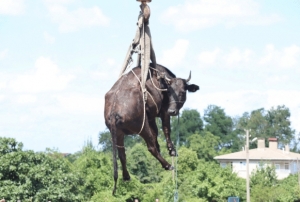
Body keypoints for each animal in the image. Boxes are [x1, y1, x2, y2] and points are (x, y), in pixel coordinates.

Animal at [103, 64, 199, 194]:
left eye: (183, 91)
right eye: (168, 92)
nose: (172, 111)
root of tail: (113, 112)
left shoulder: (151, 116)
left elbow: (155, 133)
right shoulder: (163, 112)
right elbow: (166, 129)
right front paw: (172, 149)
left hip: (119, 134)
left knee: (122, 154)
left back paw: (127, 176)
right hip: (142, 127)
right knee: (150, 147)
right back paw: (168, 165)